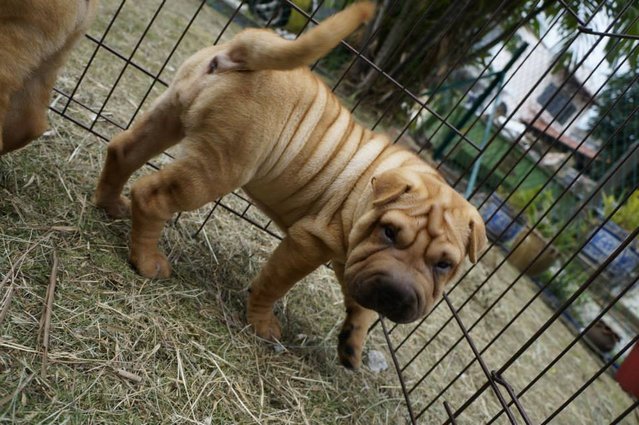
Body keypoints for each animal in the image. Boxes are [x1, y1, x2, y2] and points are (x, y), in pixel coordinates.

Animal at [94, 1, 484, 368]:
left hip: (169, 116)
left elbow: (361, 303)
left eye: (444, 264)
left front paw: (353, 343)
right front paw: (261, 323)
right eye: (389, 232)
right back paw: (147, 261)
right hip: (217, 168)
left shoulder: (353, 259)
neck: (370, 188)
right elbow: (274, 284)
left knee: (122, 150)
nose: (396, 295)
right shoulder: (309, 244)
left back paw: (110, 205)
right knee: (152, 194)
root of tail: (242, 52)